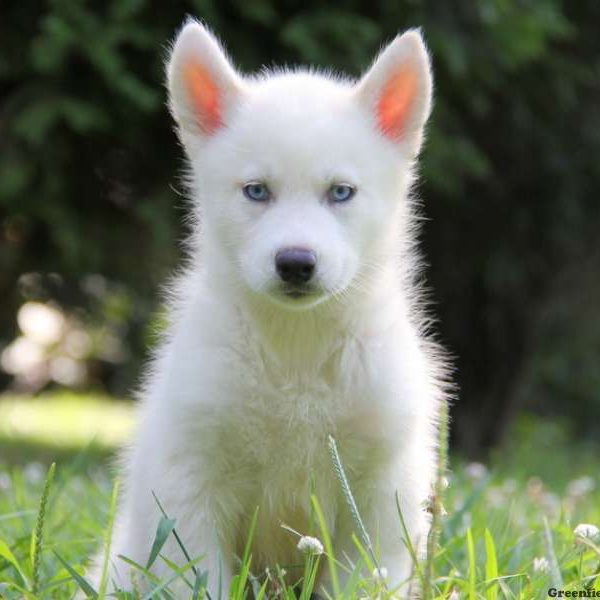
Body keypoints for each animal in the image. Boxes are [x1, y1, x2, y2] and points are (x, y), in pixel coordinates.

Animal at [94, 19, 448, 600]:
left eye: (341, 192)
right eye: (256, 191)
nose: (296, 263)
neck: (296, 348)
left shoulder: (376, 493)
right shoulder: (191, 484)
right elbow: (200, 577)